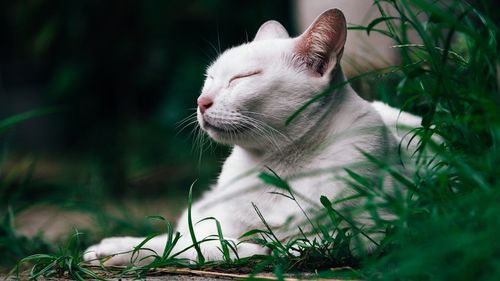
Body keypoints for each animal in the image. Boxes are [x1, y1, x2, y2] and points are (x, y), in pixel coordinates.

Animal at [84, 7, 420, 264]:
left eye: (241, 78)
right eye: (210, 78)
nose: (201, 101)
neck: (275, 168)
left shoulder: (370, 233)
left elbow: (217, 246)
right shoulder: (222, 223)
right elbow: (184, 240)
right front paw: (116, 248)